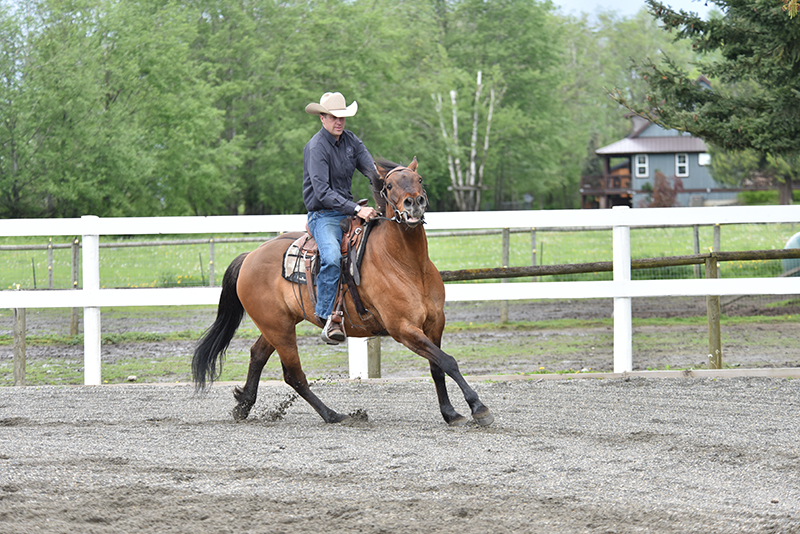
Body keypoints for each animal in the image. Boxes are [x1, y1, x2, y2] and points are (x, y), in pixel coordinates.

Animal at [192, 157, 494, 427]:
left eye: (419, 179)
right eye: (389, 185)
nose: (414, 202)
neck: (408, 265)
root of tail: (250, 256)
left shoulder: (434, 323)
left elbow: (437, 367)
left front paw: (450, 414)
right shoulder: (403, 329)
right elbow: (448, 362)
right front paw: (478, 408)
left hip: (277, 325)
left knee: (257, 355)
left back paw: (243, 405)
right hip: (278, 328)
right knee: (294, 375)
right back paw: (334, 415)